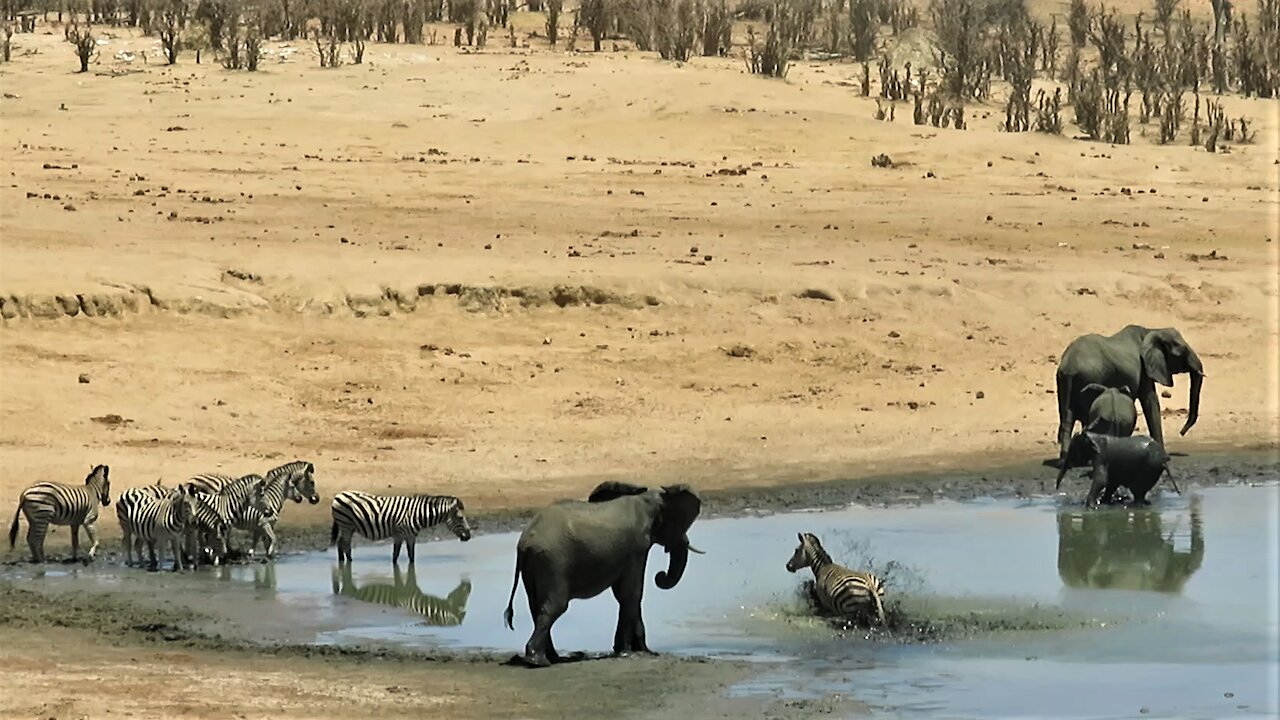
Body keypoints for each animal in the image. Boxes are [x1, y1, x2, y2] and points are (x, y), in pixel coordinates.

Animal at [330, 489, 471, 563]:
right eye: (460, 518)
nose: (469, 536)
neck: (417, 514)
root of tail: (339, 494)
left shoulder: (411, 536)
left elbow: (411, 556)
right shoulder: (399, 534)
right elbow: (395, 555)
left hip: (349, 526)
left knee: (341, 543)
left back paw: (343, 563)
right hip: (346, 524)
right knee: (344, 543)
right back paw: (348, 562)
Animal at [499, 479, 706, 666]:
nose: (660, 575)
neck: (646, 500)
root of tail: (524, 542)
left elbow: (625, 593)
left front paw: (638, 650)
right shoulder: (637, 547)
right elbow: (632, 592)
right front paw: (628, 652)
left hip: (535, 563)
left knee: (536, 606)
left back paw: (552, 657)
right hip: (552, 561)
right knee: (555, 605)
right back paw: (539, 661)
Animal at [1049, 325, 1198, 466]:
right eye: (1182, 352)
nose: (1181, 432)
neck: (1152, 330)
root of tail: (1070, 366)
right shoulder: (1144, 369)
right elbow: (1150, 402)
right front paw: (1164, 458)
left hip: (1063, 381)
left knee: (1067, 417)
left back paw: (1065, 462)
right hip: (1090, 378)